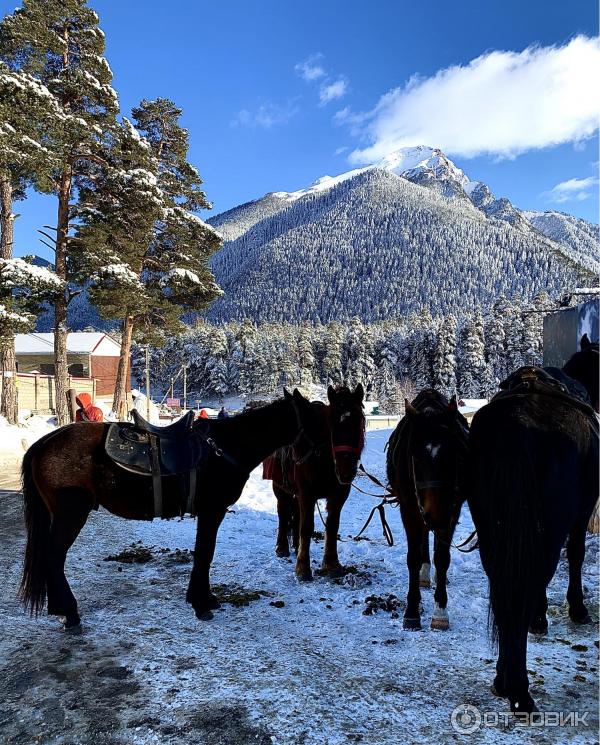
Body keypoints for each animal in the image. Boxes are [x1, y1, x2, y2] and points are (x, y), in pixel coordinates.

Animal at [18, 386, 318, 624]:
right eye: (314, 419)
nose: (311, 459)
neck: (225, 448)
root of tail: (44, 443)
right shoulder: (212, 512)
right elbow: (205, 554)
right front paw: (201, 603)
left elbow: (203, 554)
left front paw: (204, 598)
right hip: (71, 515)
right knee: (54, 557)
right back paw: (68, 612)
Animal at [268, 384, 366, 580]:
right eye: (332, 424)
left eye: (359, 420)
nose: (346, 470)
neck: (323, 459)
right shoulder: (307, 493)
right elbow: (306, 527)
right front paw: (302, 568)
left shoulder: (338, 494)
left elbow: (332, 526)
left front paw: (331, 564)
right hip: (280, 489)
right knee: (283, 513)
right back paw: (282, 547)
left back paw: (296, 546)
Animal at [384, 392, 474, 632]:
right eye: (414, 455)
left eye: (453, 454)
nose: (435, 516)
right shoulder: (409, 508)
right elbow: (413, 557)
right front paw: (412, 611)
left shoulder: (451, 510)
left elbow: (442, 558)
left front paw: (440, 611)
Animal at [468, 336, 600, 708]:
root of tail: (516, 426)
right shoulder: (581, 512)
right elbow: (576, 555)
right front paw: (575, 609)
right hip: (548, 530)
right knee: (528, 584)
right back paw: (518, 688)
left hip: (492, 532)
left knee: (505, 590)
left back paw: (503, 679)